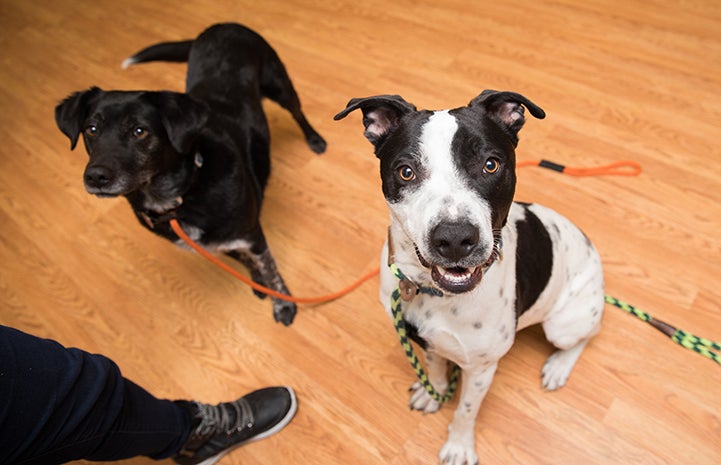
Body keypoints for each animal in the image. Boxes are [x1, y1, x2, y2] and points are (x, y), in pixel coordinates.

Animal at [56, 22, 326, 326]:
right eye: (91, 129)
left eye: (140, 131)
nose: (96, 177)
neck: (179, 195)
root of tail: (220, 25)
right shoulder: (217, 244)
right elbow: (248, 261)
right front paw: (258, 283)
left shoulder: (251, 234)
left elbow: (270, 269)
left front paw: (281, 302)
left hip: (278, 84)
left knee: (298, 113)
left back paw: (315, 139)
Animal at [334, 91, 604, 464]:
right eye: (406, 172)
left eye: (490, 164)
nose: (454, 239)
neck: (430, 291)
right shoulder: (431, 342)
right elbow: (434, 370)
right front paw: (434, 393)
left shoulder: (481, 369)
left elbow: (465, 411)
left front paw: (459, 446)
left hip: (563, 324)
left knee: (584, 337)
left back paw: (559, 366)